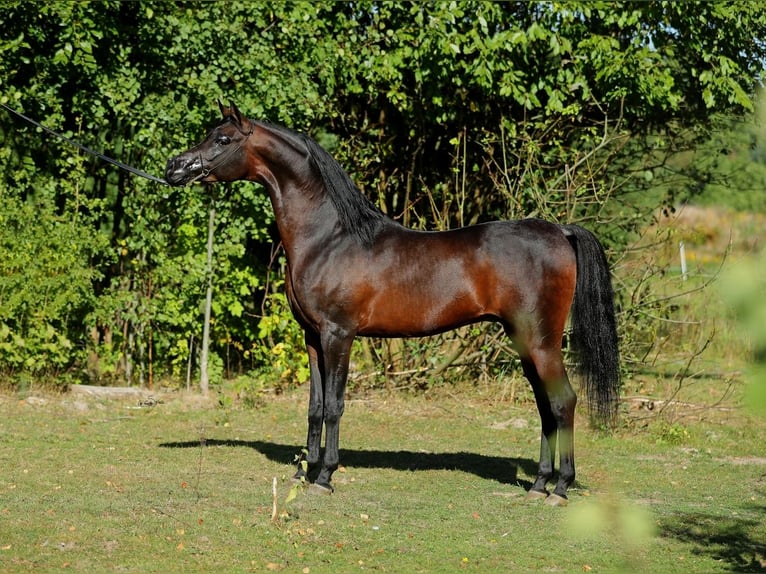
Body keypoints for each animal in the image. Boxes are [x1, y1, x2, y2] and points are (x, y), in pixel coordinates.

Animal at [165, 102, 620, 506]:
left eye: (222, 139)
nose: (175, 168)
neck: (329, 237)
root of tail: (560, 231)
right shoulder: (312, 337)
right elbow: (314, 406)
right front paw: (304, 471)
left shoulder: (339, 335)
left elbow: (335, 406)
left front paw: (324, 477)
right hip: (524, 341)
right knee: (545, 407)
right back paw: (539, 485)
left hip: (540, 341)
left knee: (563, 402)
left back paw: (560, 488)